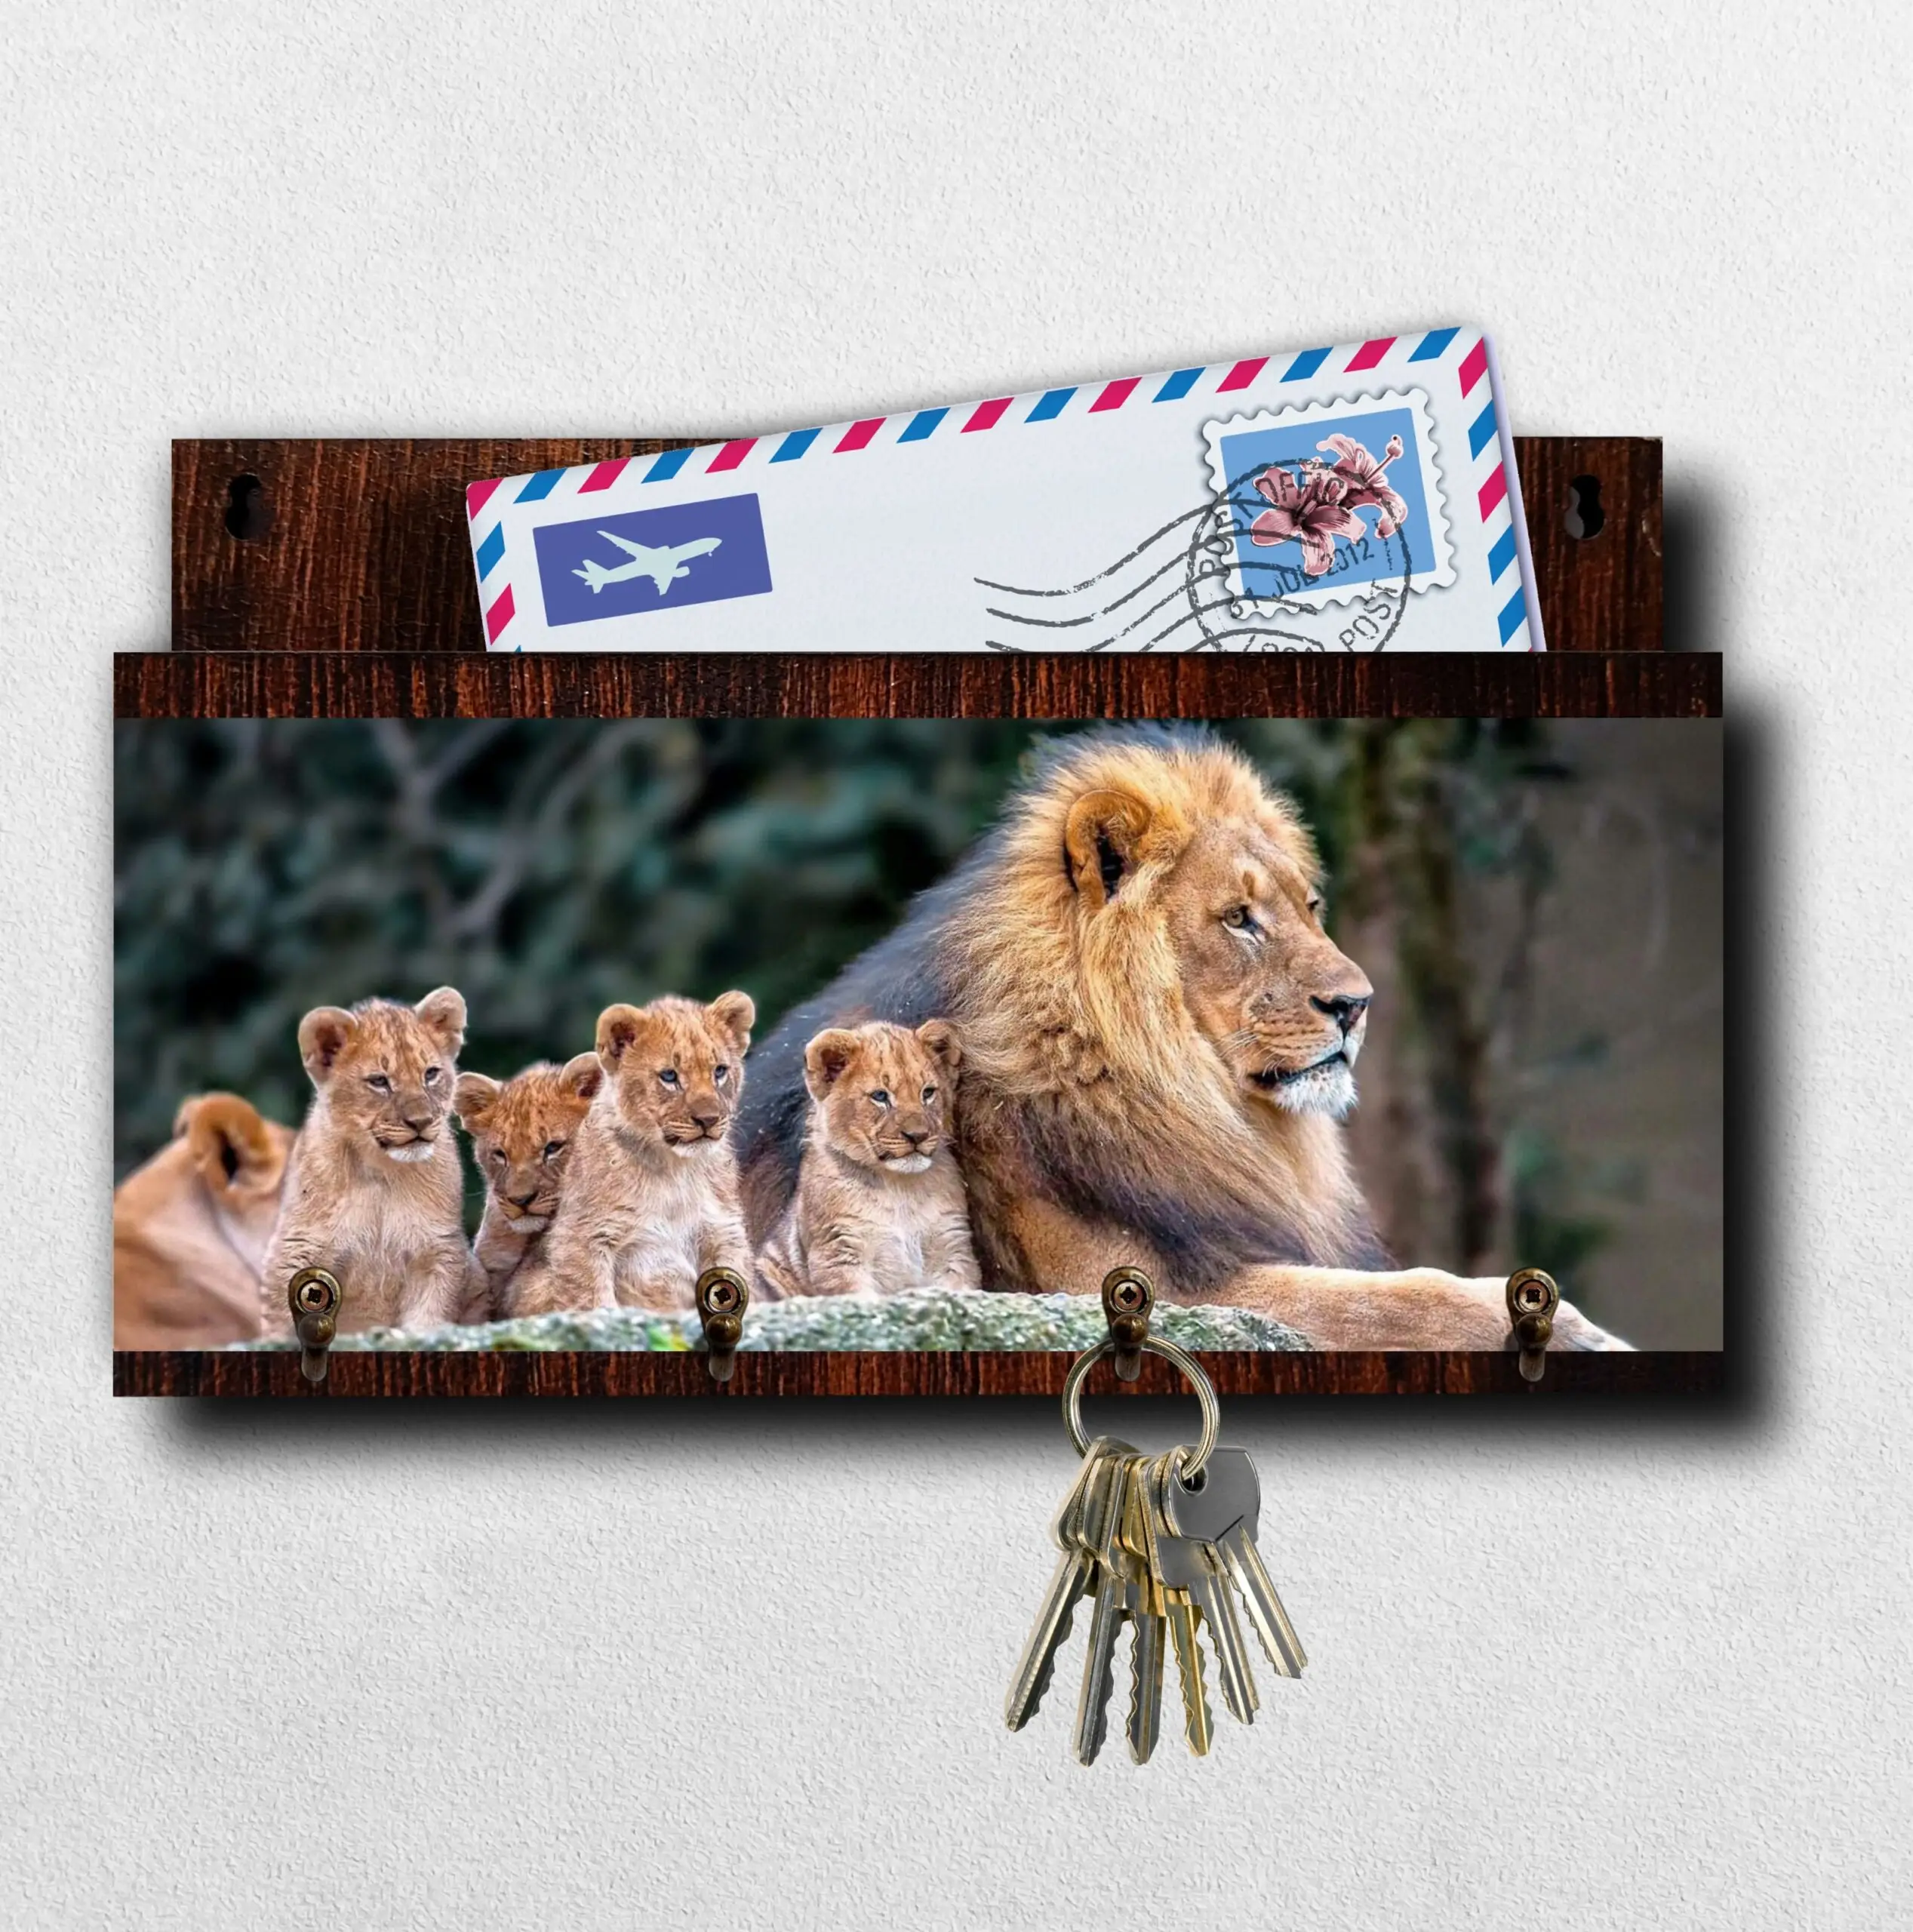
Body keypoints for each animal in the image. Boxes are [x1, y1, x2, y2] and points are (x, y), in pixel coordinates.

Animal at [259, 987, 477, 1337]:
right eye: (379, 1081)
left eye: (430, 1074)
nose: (421, 1122)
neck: (381, 1172)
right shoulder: (296, 1250)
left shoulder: (436, 1251)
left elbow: (428, 1318)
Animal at [511, 993, 756, 1316]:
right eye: (669, 1076)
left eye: (719, 1071)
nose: (708, 1120)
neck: (674, 1170)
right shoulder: (582, 1237)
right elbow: (592, 1299)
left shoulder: (722, 1232)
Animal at [756, 1019, 980, 1301]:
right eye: (880, 1096)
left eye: (928, 1093)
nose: (917, 1136)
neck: (900, 1188)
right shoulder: (839, 1253)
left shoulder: (952, 1247)